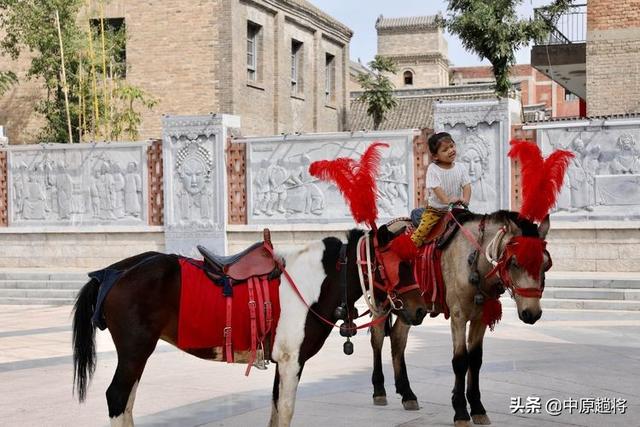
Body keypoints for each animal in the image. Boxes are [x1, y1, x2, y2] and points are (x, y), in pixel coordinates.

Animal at [72, 222, 428, 426]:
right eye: (400, 264)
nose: (420, 309)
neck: (313, 282)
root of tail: (113, 272)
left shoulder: (282, 362)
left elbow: (276, 411)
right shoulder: (292, 361)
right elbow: (285, 410)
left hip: (136, 354)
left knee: (127, 401)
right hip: (135, 350)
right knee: (117, 398)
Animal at [368, 211, 552, 427]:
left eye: (545, 265)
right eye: (514, 262)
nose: (532, 313)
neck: (476, 261)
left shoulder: (480, 317)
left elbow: (475, 359)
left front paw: (478, 408)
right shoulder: (458, 316)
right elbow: (460, 360)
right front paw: (461, 411)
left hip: (410, 308)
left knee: (398, 338)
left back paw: (407, 394)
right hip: (382, 300)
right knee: (377, 338)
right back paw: (379, 390)